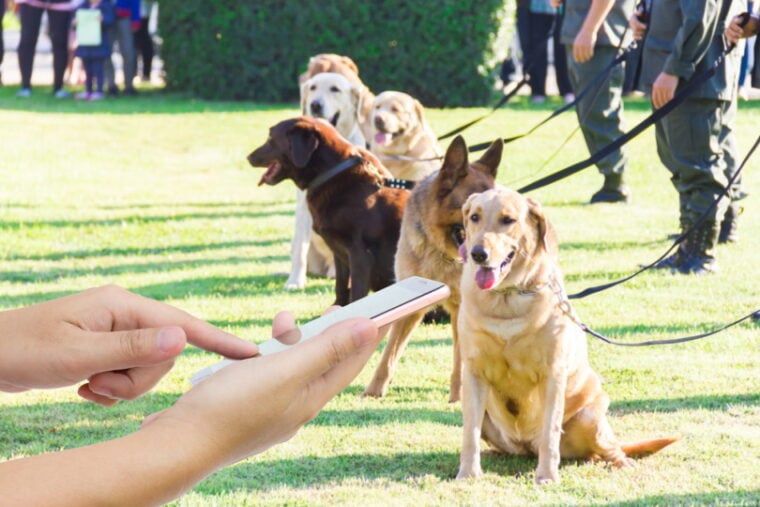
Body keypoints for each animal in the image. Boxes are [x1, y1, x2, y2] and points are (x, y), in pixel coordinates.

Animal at [248, 116, 410, 306]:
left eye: (271, 139)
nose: (248, 157)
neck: (331, 174)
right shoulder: (340, 253)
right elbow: (340, 287)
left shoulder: (360, 254)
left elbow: (357, 293)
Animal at [364, 136, 504, 404]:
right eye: (473, 214)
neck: (439, 251)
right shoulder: (409, 306)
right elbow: (389, 352)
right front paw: (373, 391)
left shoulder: (461, 310)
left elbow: (460, 361)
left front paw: (458, 397)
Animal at [458, 187, 676, 484]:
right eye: (474, 217)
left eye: (508, 220)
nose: (477, 253)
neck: (508, 299)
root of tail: (526, 446)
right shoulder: (473, 372)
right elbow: (470, 432)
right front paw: (468, 473)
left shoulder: (553, 373)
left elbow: (550, 432)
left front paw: (547, 476)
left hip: (590, 417)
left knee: (604, 450)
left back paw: (620, 462)